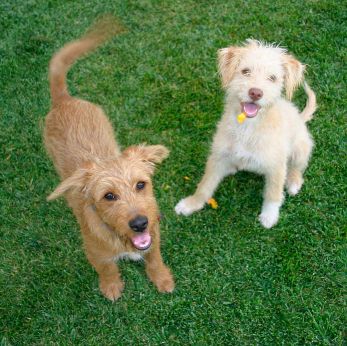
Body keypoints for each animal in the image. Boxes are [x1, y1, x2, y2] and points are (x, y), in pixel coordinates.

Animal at [44, 18, 175, 300]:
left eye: (141, 184)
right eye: (109, 196)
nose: (140, 223)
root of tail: (63, 100)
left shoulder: (154, 238)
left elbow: (155, 259)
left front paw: (162, 279)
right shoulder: (96, 254)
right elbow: (107, 269)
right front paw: (111, 286)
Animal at [177, 39, 318, 228]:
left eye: (272, 78)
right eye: (245, 71)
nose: (256, 93)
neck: (248, 127)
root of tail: (300, 118)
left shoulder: (276, 166)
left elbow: (273, 194)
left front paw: (269, 217)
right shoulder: (217, 157)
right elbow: (205, 185)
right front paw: (191, 204)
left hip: (300, 149)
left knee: (297, 167)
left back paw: (293, 182)